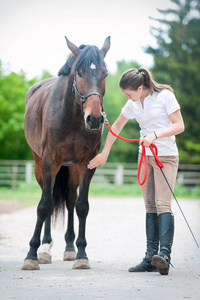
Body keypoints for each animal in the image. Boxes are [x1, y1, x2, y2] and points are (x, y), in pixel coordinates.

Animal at [21, 36, 111, 270]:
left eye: (105, 74)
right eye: (79, 72)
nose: (94, 119)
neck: (71, 117)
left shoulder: (87, 163)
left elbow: (82, 206)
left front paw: (81, 254)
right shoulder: (49, 161)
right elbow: (44, 205)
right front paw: (32, 255)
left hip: (71, 169)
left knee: (70, 199)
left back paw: (70, 248)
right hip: (40, 165)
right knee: (50, 198)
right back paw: (44, 248)